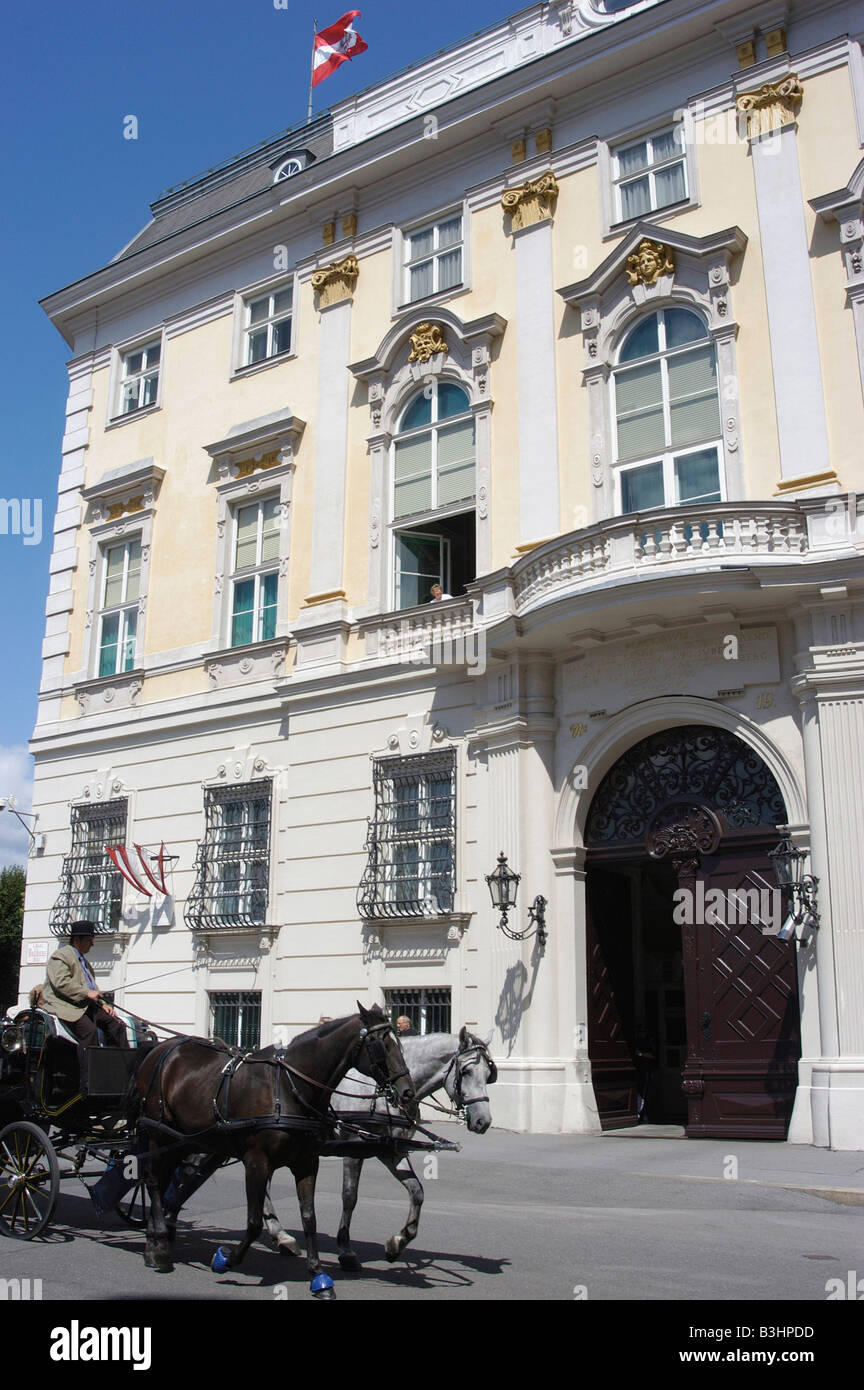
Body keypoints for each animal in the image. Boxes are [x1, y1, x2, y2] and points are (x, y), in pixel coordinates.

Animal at [131, 1006, 416, 1295]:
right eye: (382, 1045)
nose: (407, 1092)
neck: (289, 1088)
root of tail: (162, 1048)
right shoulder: (257, 1161)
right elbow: (254, 1221)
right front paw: (226, 1260)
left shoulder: (307, 1162)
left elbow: (309, 1218)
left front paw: (318, 1275)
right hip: (158, 1132)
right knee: (153, 1180)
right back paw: (159, 1248)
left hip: (185, 1138)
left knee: (168, 1180)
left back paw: (157, 1238)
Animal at [261, 1023, 497, 1273]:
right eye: (467, 1071)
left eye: (488, 1074)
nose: (483, 1120)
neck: (385, 1090)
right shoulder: (353, 1146)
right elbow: (349, 1196)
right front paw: (346, 1250)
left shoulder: (391, 1150)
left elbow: (417, 1192)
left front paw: (397, 1243)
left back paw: (280, 1235)